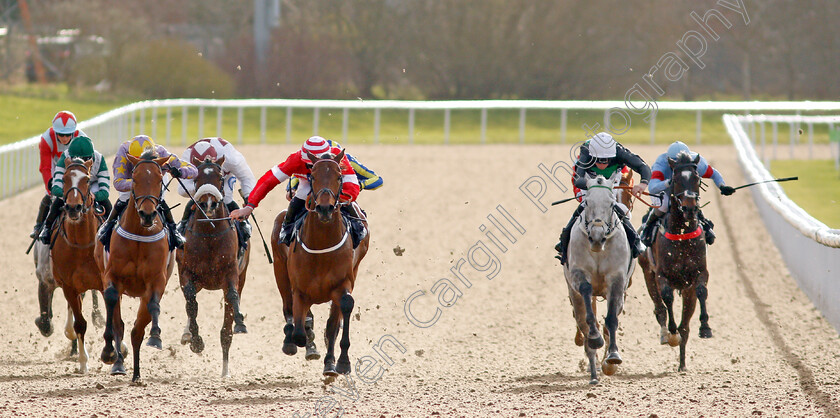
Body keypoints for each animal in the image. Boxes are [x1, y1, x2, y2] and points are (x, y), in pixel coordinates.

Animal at [94, 150, 175, 382]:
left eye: (159, 179)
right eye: (135, 179)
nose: (147, 214)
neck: (140, 233)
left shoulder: (157, 280)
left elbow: (154, 306)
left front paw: (156, 336)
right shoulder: (112, 276)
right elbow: (112, 302)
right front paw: (108, 352)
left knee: (137, 331)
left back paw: (137, 373)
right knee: (120, 324)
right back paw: (118, 363)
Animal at [172, 155, 248, 378]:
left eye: (221, 177)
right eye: (196, 178)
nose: (208, 203)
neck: (210, 234)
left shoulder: (231, 274)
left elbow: (231, 303)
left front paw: (239, 322)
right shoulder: (186, 274)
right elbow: (191, 305)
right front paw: (196, 341)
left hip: (242, 275)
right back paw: (187, 334)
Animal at [272, 151, 370, 378]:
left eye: (339, 176)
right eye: (313, 176)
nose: (325, 208)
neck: (322, 244)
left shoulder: (343, 283)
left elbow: (339, 316)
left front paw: (339, 362)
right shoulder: (300, 289)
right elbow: (299, 329)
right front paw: (300, 339)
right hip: (280, 270)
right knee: (288, 307)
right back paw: (293, 340)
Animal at [560, 171, 632, 384]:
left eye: (611, 203)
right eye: (587, 202)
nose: (597, 236)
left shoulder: (617, 280)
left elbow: (611, 320)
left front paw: (613, 356)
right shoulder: (578, 275)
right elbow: (588, 315)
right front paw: (595, 337)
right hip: (574, 294)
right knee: (583, 322)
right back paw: (593, 372)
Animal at [640, 152, 712, 370]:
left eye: (697, 179)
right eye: (677, 180)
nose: (690, 208)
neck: (681, 232)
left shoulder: (699, 273)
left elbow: (702, 291)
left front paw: (705, 327)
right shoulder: (661, 275)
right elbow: (667, 298)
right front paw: (671, 332)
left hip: (687, 292)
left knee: (685, 326)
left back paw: (682, 364)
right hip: (648, 274)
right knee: (660, 308)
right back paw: (667, 334)